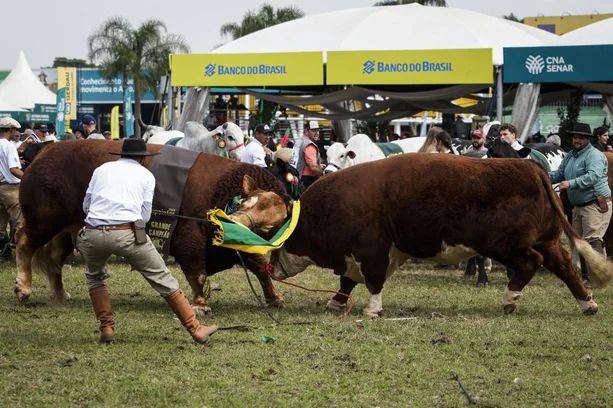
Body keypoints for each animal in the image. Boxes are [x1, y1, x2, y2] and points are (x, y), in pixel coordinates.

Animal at [14, 140, 292, 316]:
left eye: (268, 226)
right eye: (245, 203)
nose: (235, 223)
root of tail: (46, 150)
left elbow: (261, 268)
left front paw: (274, 297)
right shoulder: (187, 238)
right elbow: (198, 273)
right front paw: (200, 305)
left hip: (66, 231)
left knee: (53, 260)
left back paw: (60, 294)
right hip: (42, 221)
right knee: (24, 243)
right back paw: (23, 287)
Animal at [272, 153, 612, 316]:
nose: (271, 267)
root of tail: (530, 166)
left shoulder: (371, 250)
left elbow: (372, 281)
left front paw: (372, 309)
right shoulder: (366, 254)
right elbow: (347, 281)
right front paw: (335, 303)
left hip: (507, 245)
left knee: (531, 263)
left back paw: (509, 299)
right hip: (548, 240)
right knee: (565, 267)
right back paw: (588, 304)